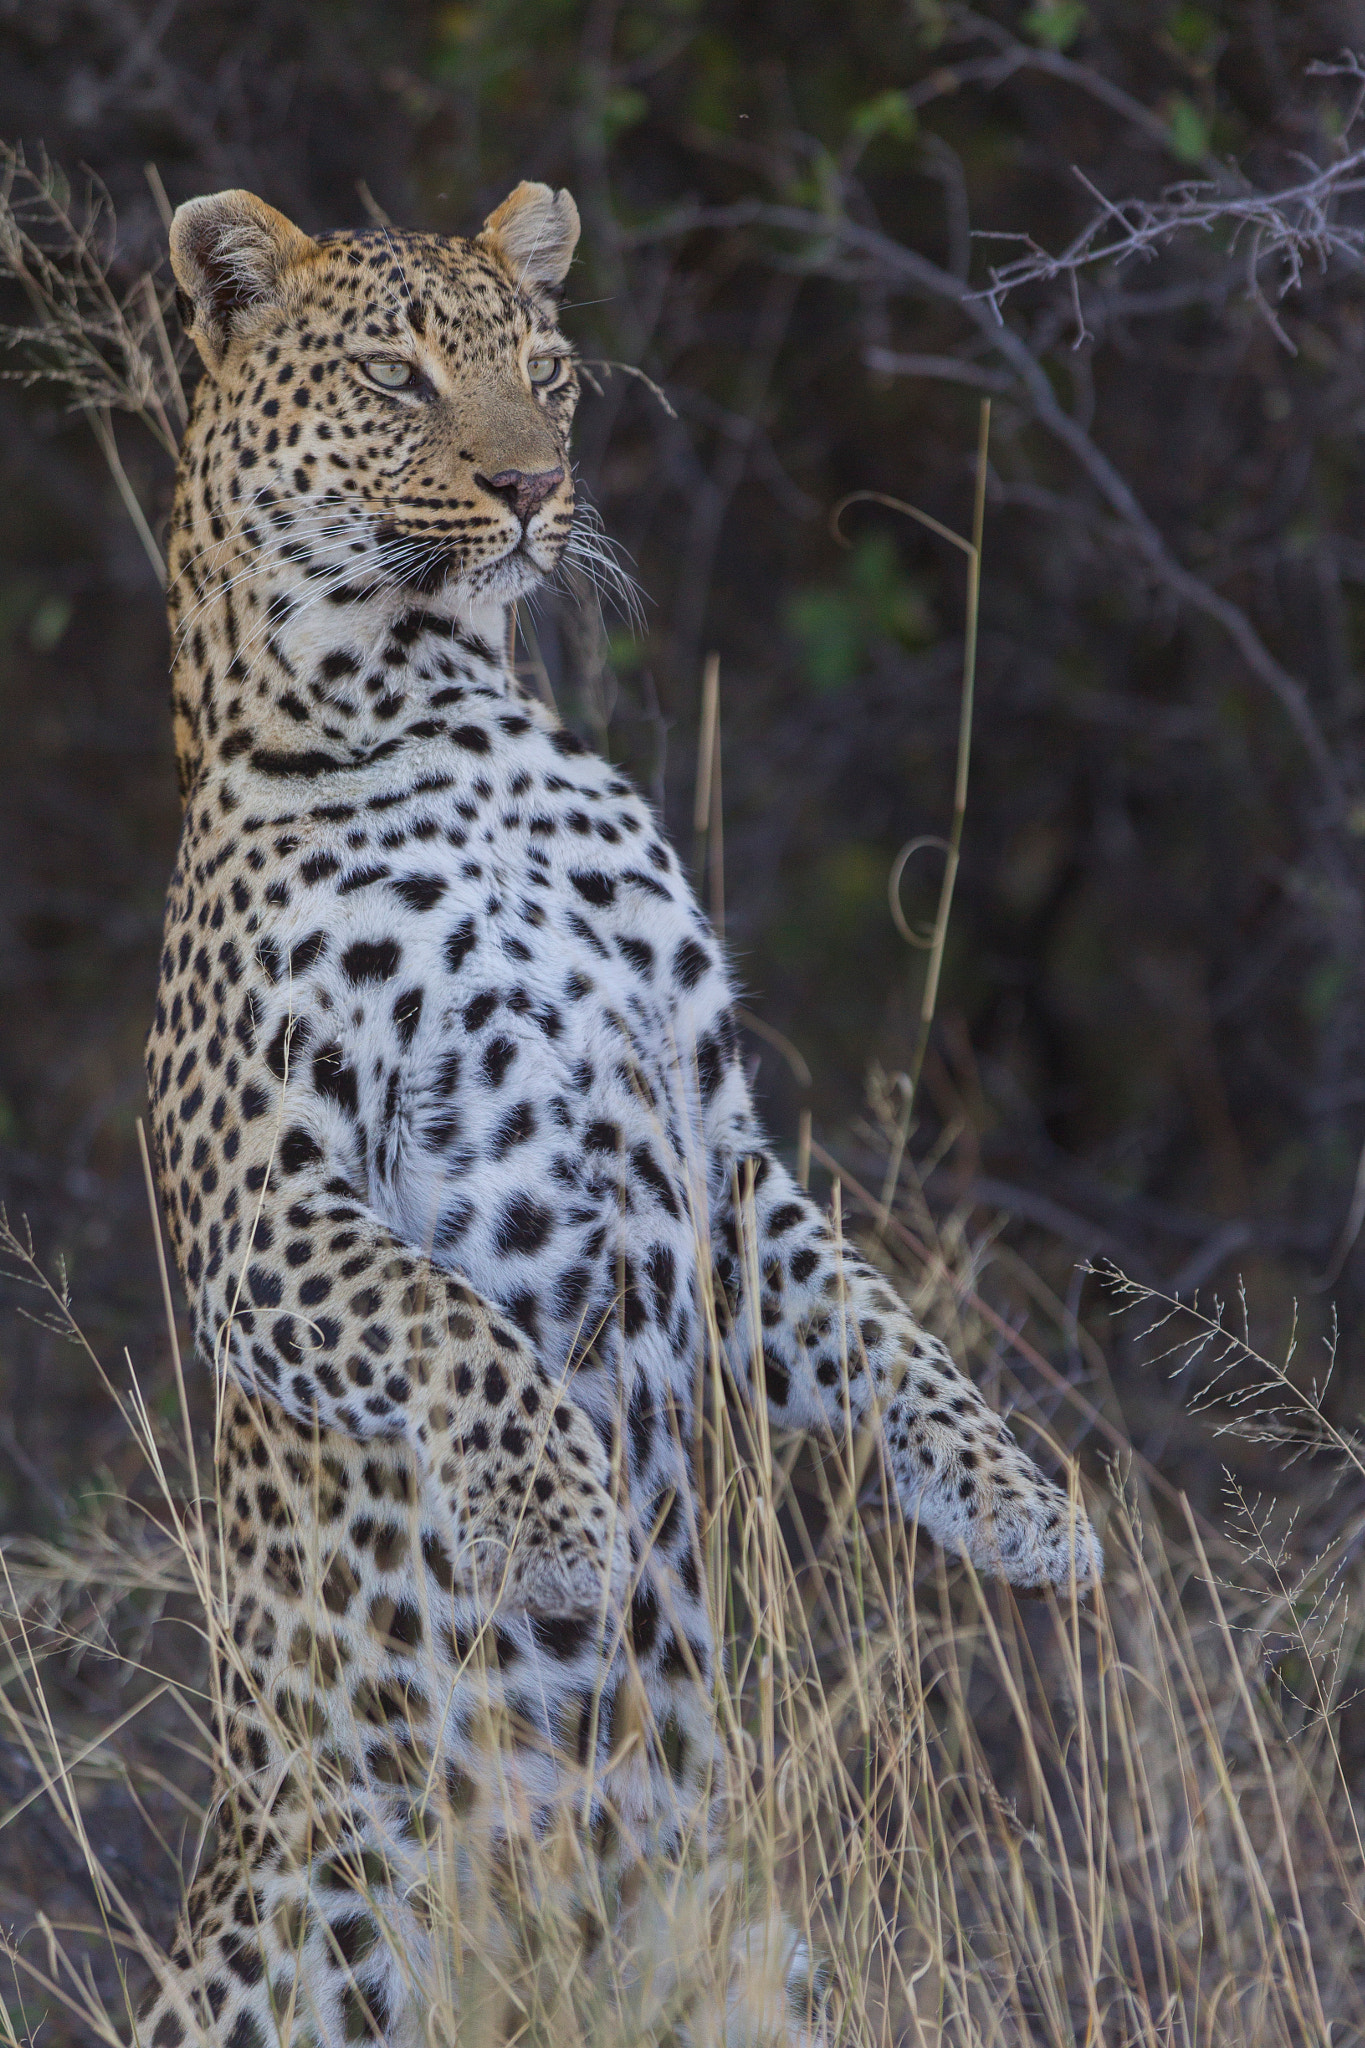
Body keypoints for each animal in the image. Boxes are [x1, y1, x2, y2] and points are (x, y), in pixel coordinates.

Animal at [136, 180, 1096, 2048]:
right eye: (395, 373)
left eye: (549, 372)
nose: (530, 489)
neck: (435, 709)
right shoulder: (258, 1210)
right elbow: (444, 1322)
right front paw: (562, 1527)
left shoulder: (710, 1138)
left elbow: (874, 1322)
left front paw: (1020, 1500)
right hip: (310, 1956)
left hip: (749, 1972)